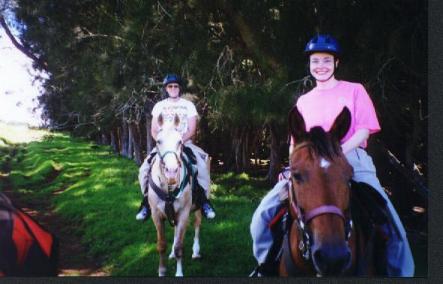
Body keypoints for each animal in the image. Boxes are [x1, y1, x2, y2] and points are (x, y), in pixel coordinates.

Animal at [149, 113, 205, 278]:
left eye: (179, 141)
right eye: (158, 141)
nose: (171, 172)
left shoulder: (184, 213)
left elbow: (180, 246)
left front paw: (179, 273)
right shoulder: (156, 215)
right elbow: (161, 245)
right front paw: (162, 271)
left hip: (198, 207)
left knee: (197, 224)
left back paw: (196, 252)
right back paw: (172, 254)